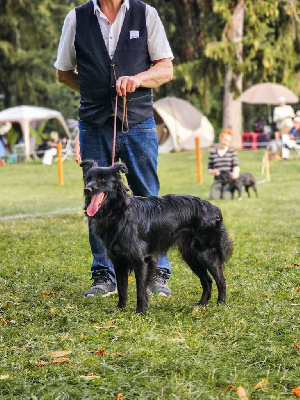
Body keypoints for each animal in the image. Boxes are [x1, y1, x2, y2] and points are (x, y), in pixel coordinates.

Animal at [81, 161, 233, 314]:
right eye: (88, 179)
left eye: (102, 180)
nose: (87, 190)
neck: (118, 211)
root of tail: (214, 208)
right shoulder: (118, 261)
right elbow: (122, 289)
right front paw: (120, 309)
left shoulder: (141, 261)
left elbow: (141, 290)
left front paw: (140, 311)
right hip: (191, 257)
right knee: (207, 280)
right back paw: (201, 304)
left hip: (206, 254)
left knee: (221, 280)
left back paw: (221, 304)